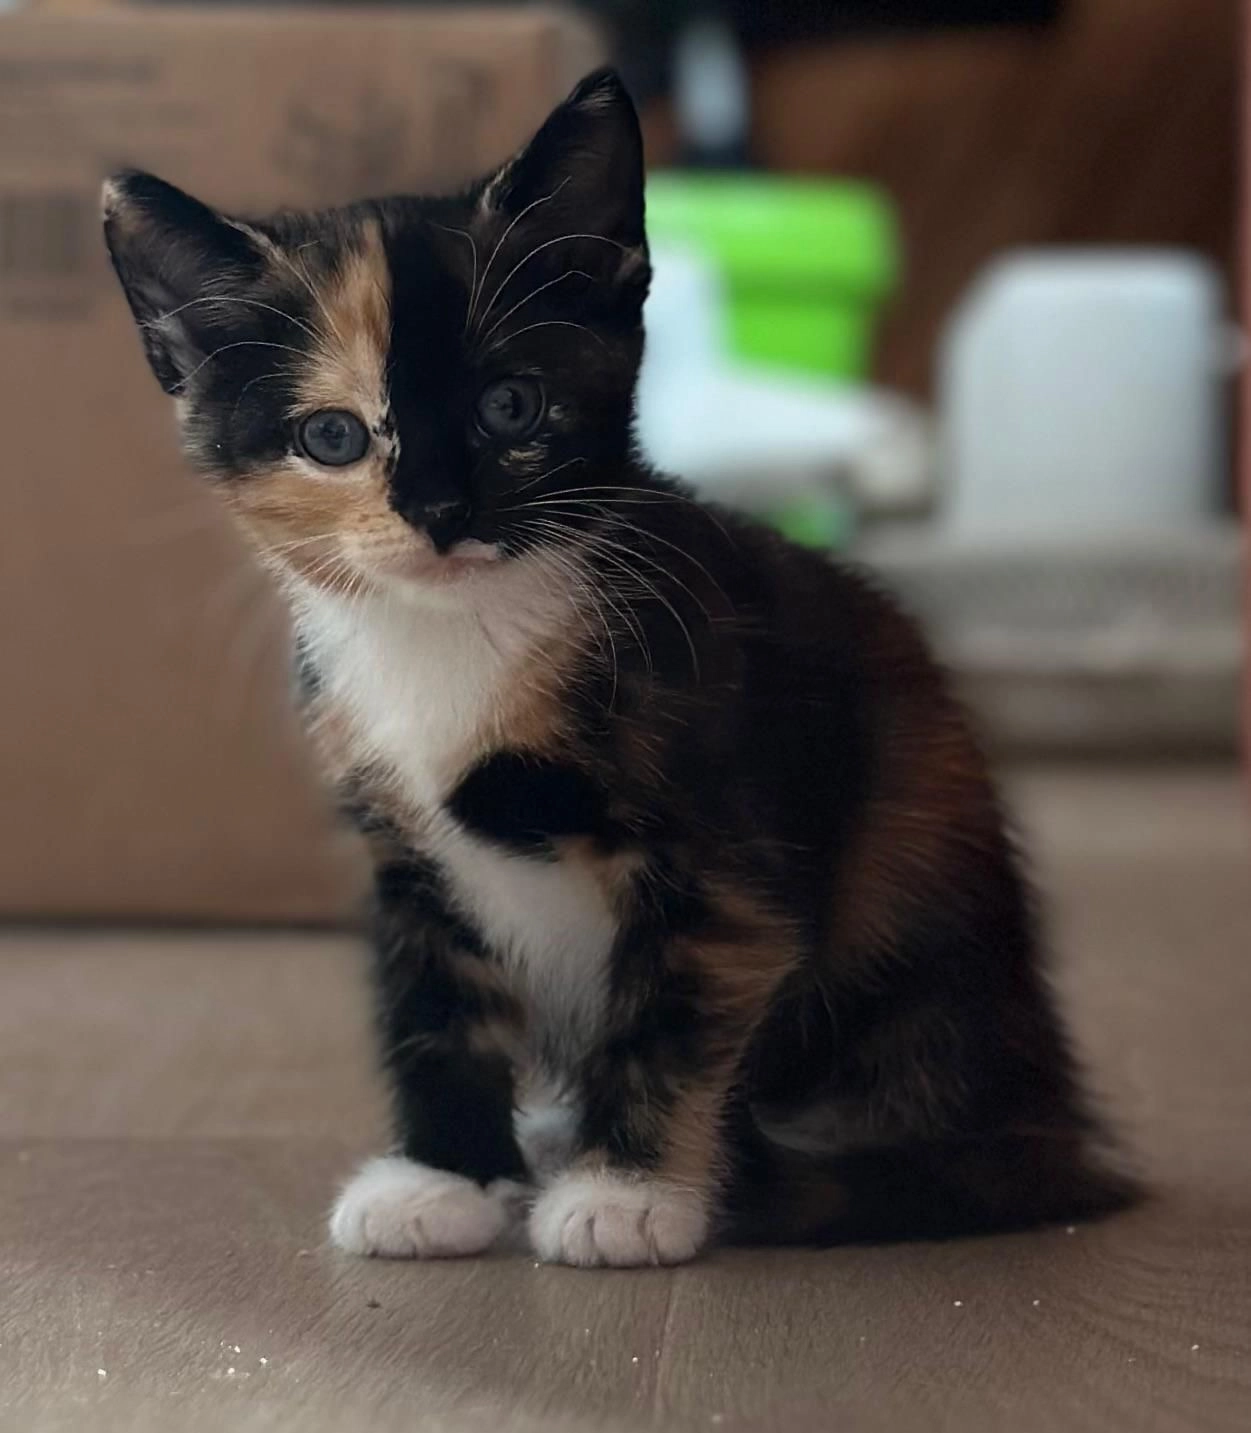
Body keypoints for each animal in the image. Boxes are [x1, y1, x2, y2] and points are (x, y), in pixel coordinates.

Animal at [102, 68, 1133, 1267]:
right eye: (332, 437)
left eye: (510, 406)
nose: (441, 509)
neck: (457, 634)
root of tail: (1053, 1119)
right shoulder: (404, 856)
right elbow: (433, 1011)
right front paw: (443, 1176)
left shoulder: (719, 846)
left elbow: (671, 1014)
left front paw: (626, 1194)